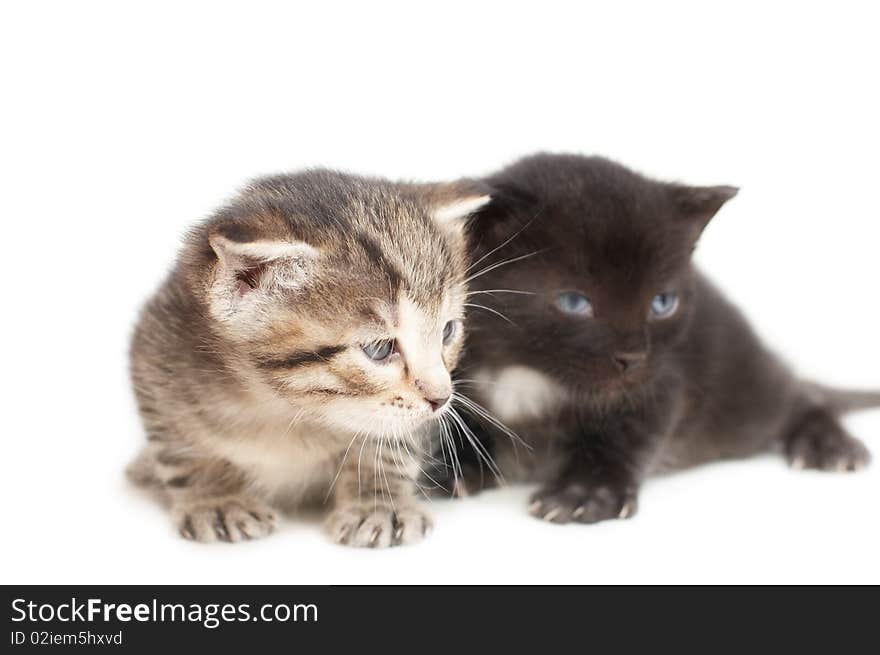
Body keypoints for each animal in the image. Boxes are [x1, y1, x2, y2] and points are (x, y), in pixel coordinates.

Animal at [130, 167, 488, 544]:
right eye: (379, 350)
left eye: (447, 331)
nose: (442, 398)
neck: (289, 411)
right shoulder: (157, 353)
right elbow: (184, 447)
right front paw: (218, 499)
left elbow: (389, 444)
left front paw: (377, 503)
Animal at [440, 152, 880, 524]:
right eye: (573, 302)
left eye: (662, 303)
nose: (632, 357)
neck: (526, 370)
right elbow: (462, 424)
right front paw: (457, 469)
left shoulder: (663, 379)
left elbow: (627, 435)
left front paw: (586, 492)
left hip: (740, 394)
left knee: (797, 397)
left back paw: (828, 444)